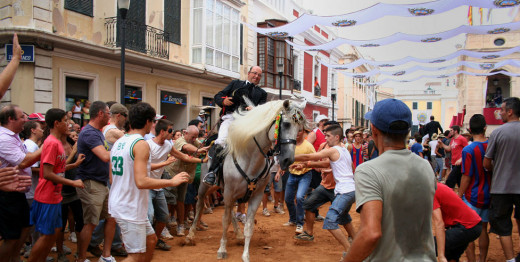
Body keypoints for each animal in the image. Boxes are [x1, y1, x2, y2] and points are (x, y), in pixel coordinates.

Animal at [186, 99, 304, 260]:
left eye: (299, 128)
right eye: (285, 124)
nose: (288, 160)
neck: (250, 159)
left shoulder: (255, 196)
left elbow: (248, 226)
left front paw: (245, 254)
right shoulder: (229, 193)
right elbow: (225, 221)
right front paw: (222, 249)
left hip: (222, 189)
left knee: (229, 212)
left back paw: (238, 234)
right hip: (206, 186)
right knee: (199, 204)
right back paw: (191, 234)